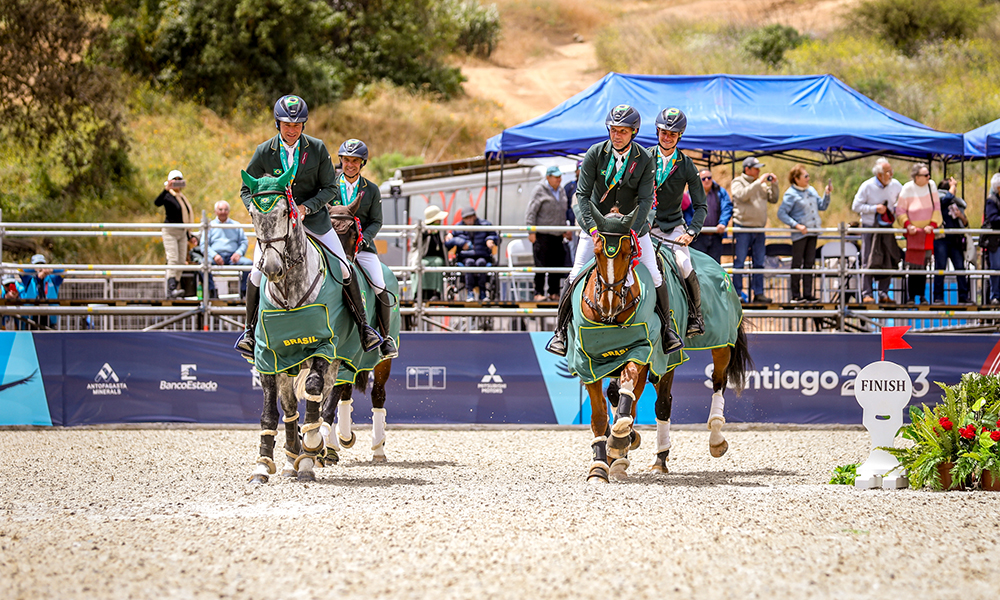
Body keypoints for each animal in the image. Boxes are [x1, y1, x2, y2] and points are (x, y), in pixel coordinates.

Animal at [244, 166, 346, 486]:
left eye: (284, 212)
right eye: (253, 214)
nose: (272, 268)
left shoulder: (324, 346)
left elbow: (314, 389)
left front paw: (313, 445)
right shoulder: (268, 356)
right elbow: (269, 411)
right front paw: (262, 466)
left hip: (336, 361)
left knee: (323, 398)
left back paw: (310, 454)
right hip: (287, 366)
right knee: (289, 409)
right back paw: (292, 459)